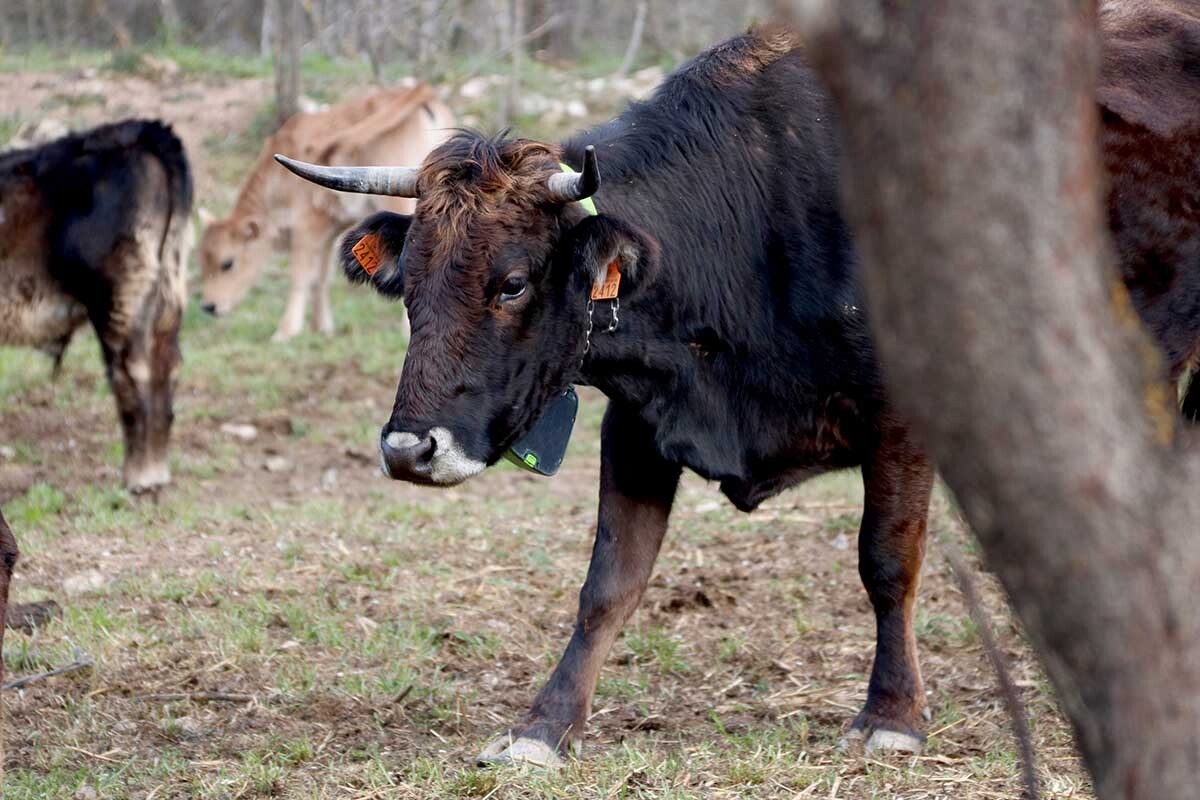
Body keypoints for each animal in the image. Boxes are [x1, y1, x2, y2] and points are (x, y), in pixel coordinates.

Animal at [0, 120, 192, 494]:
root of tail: (139, 132)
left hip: (117, 298)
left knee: (134, 371)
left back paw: (140, 475)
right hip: (166, 288)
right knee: (168, 364)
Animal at [198, 84, 455, 341]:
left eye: (227, 263)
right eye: (203, 259)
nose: (209, 306)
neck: (277, 184)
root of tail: (420, 92)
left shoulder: (305, 228)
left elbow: (301, 276)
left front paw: (286, 330)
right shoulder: (330, 232)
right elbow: (321, 277)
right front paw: (321, 326)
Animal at [276, 16, 1200, 767]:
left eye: (511, 283)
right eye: (409, 285)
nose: (410, 448)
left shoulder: (904, 419)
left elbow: (887, 561)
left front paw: (891, 716)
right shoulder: (640, 423)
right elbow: (609, 581)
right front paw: (543, 728)